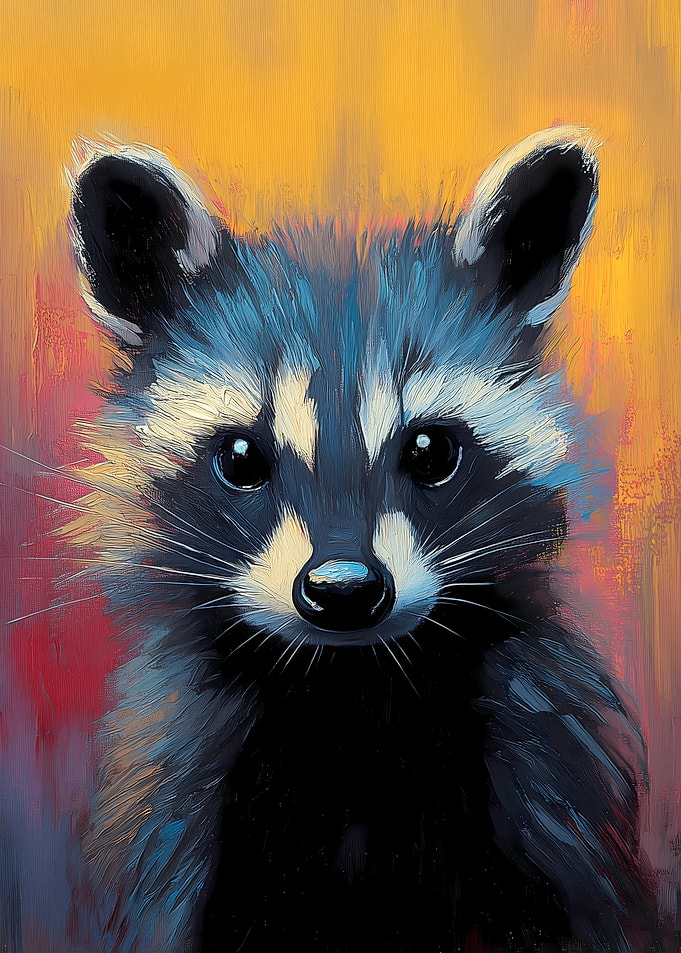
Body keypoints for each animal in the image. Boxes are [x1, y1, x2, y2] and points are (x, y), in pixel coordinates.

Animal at [66, 129, 655, 952]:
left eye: (431, 450)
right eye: (241, 456)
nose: (343, 590)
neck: (348, 693)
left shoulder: (546, 753)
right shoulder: (175, 781)